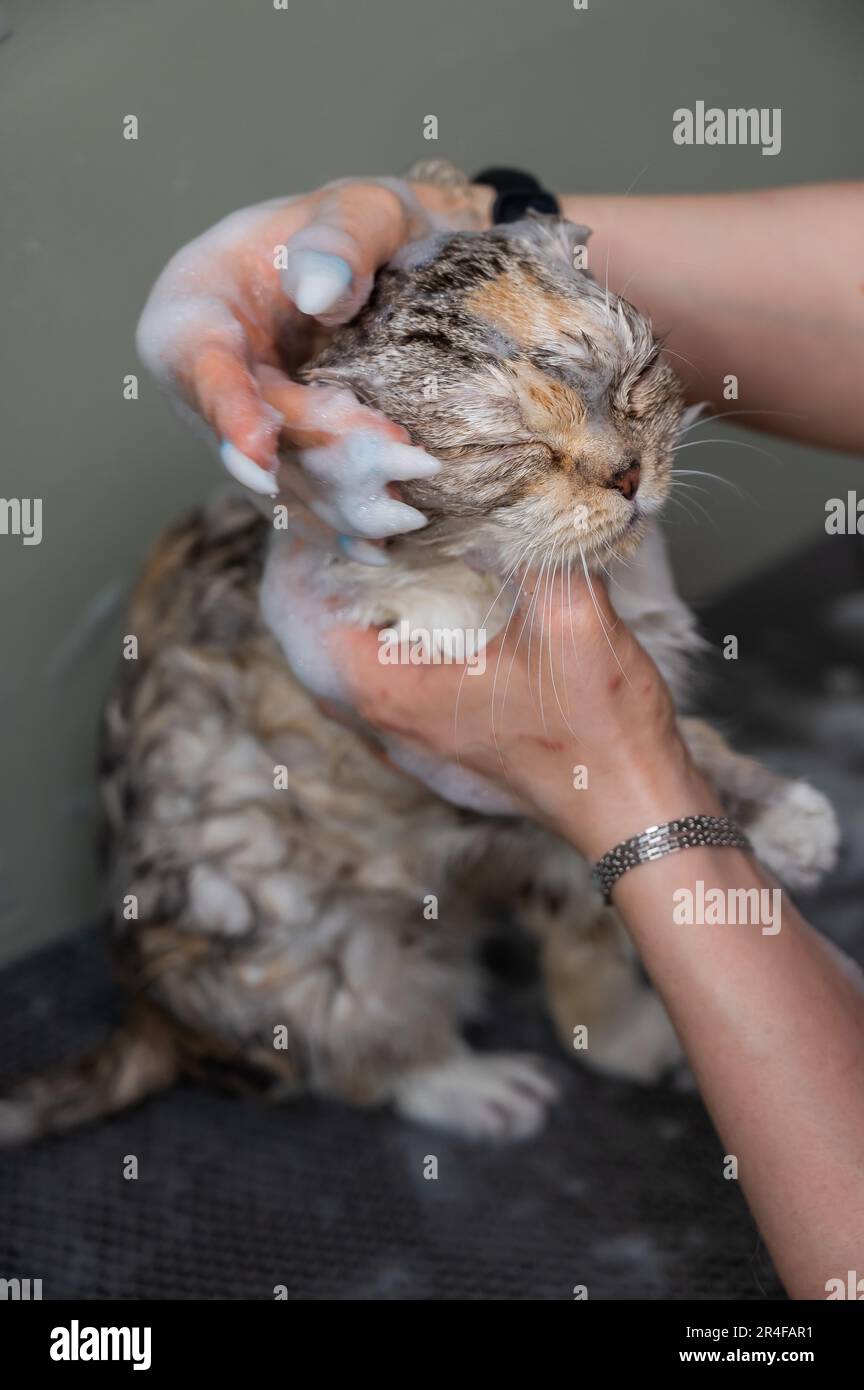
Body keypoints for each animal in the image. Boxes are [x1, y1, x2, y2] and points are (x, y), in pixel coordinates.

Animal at [0, 190, 838, 1145]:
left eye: (637, 381)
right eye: (514, 448)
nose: (628, 476)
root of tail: (151, 1021)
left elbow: (670, 779)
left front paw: (784, 819)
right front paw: (446, 609)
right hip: (331, 954)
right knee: (362, 1059)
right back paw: (476, 1088)